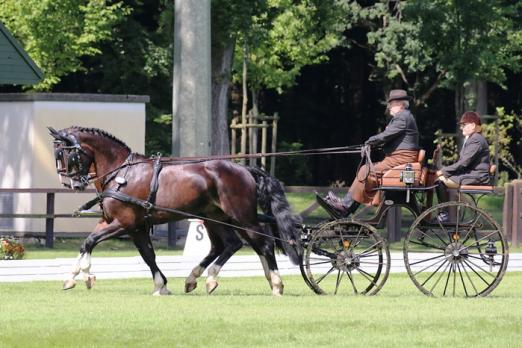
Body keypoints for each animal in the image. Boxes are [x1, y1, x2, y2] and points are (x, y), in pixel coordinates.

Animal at [49, 126, 300, 294]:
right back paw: (199, 278)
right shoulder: (129, 225)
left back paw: (275, 282)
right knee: (230, 244)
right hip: (215, 217)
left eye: (66, 154)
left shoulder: (124, 223)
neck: (121, 173)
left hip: (242, 217)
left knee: (262, 244)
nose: (71, 183)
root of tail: (245, 169)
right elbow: (144, 254)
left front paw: (85, 275)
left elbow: (92, 242)